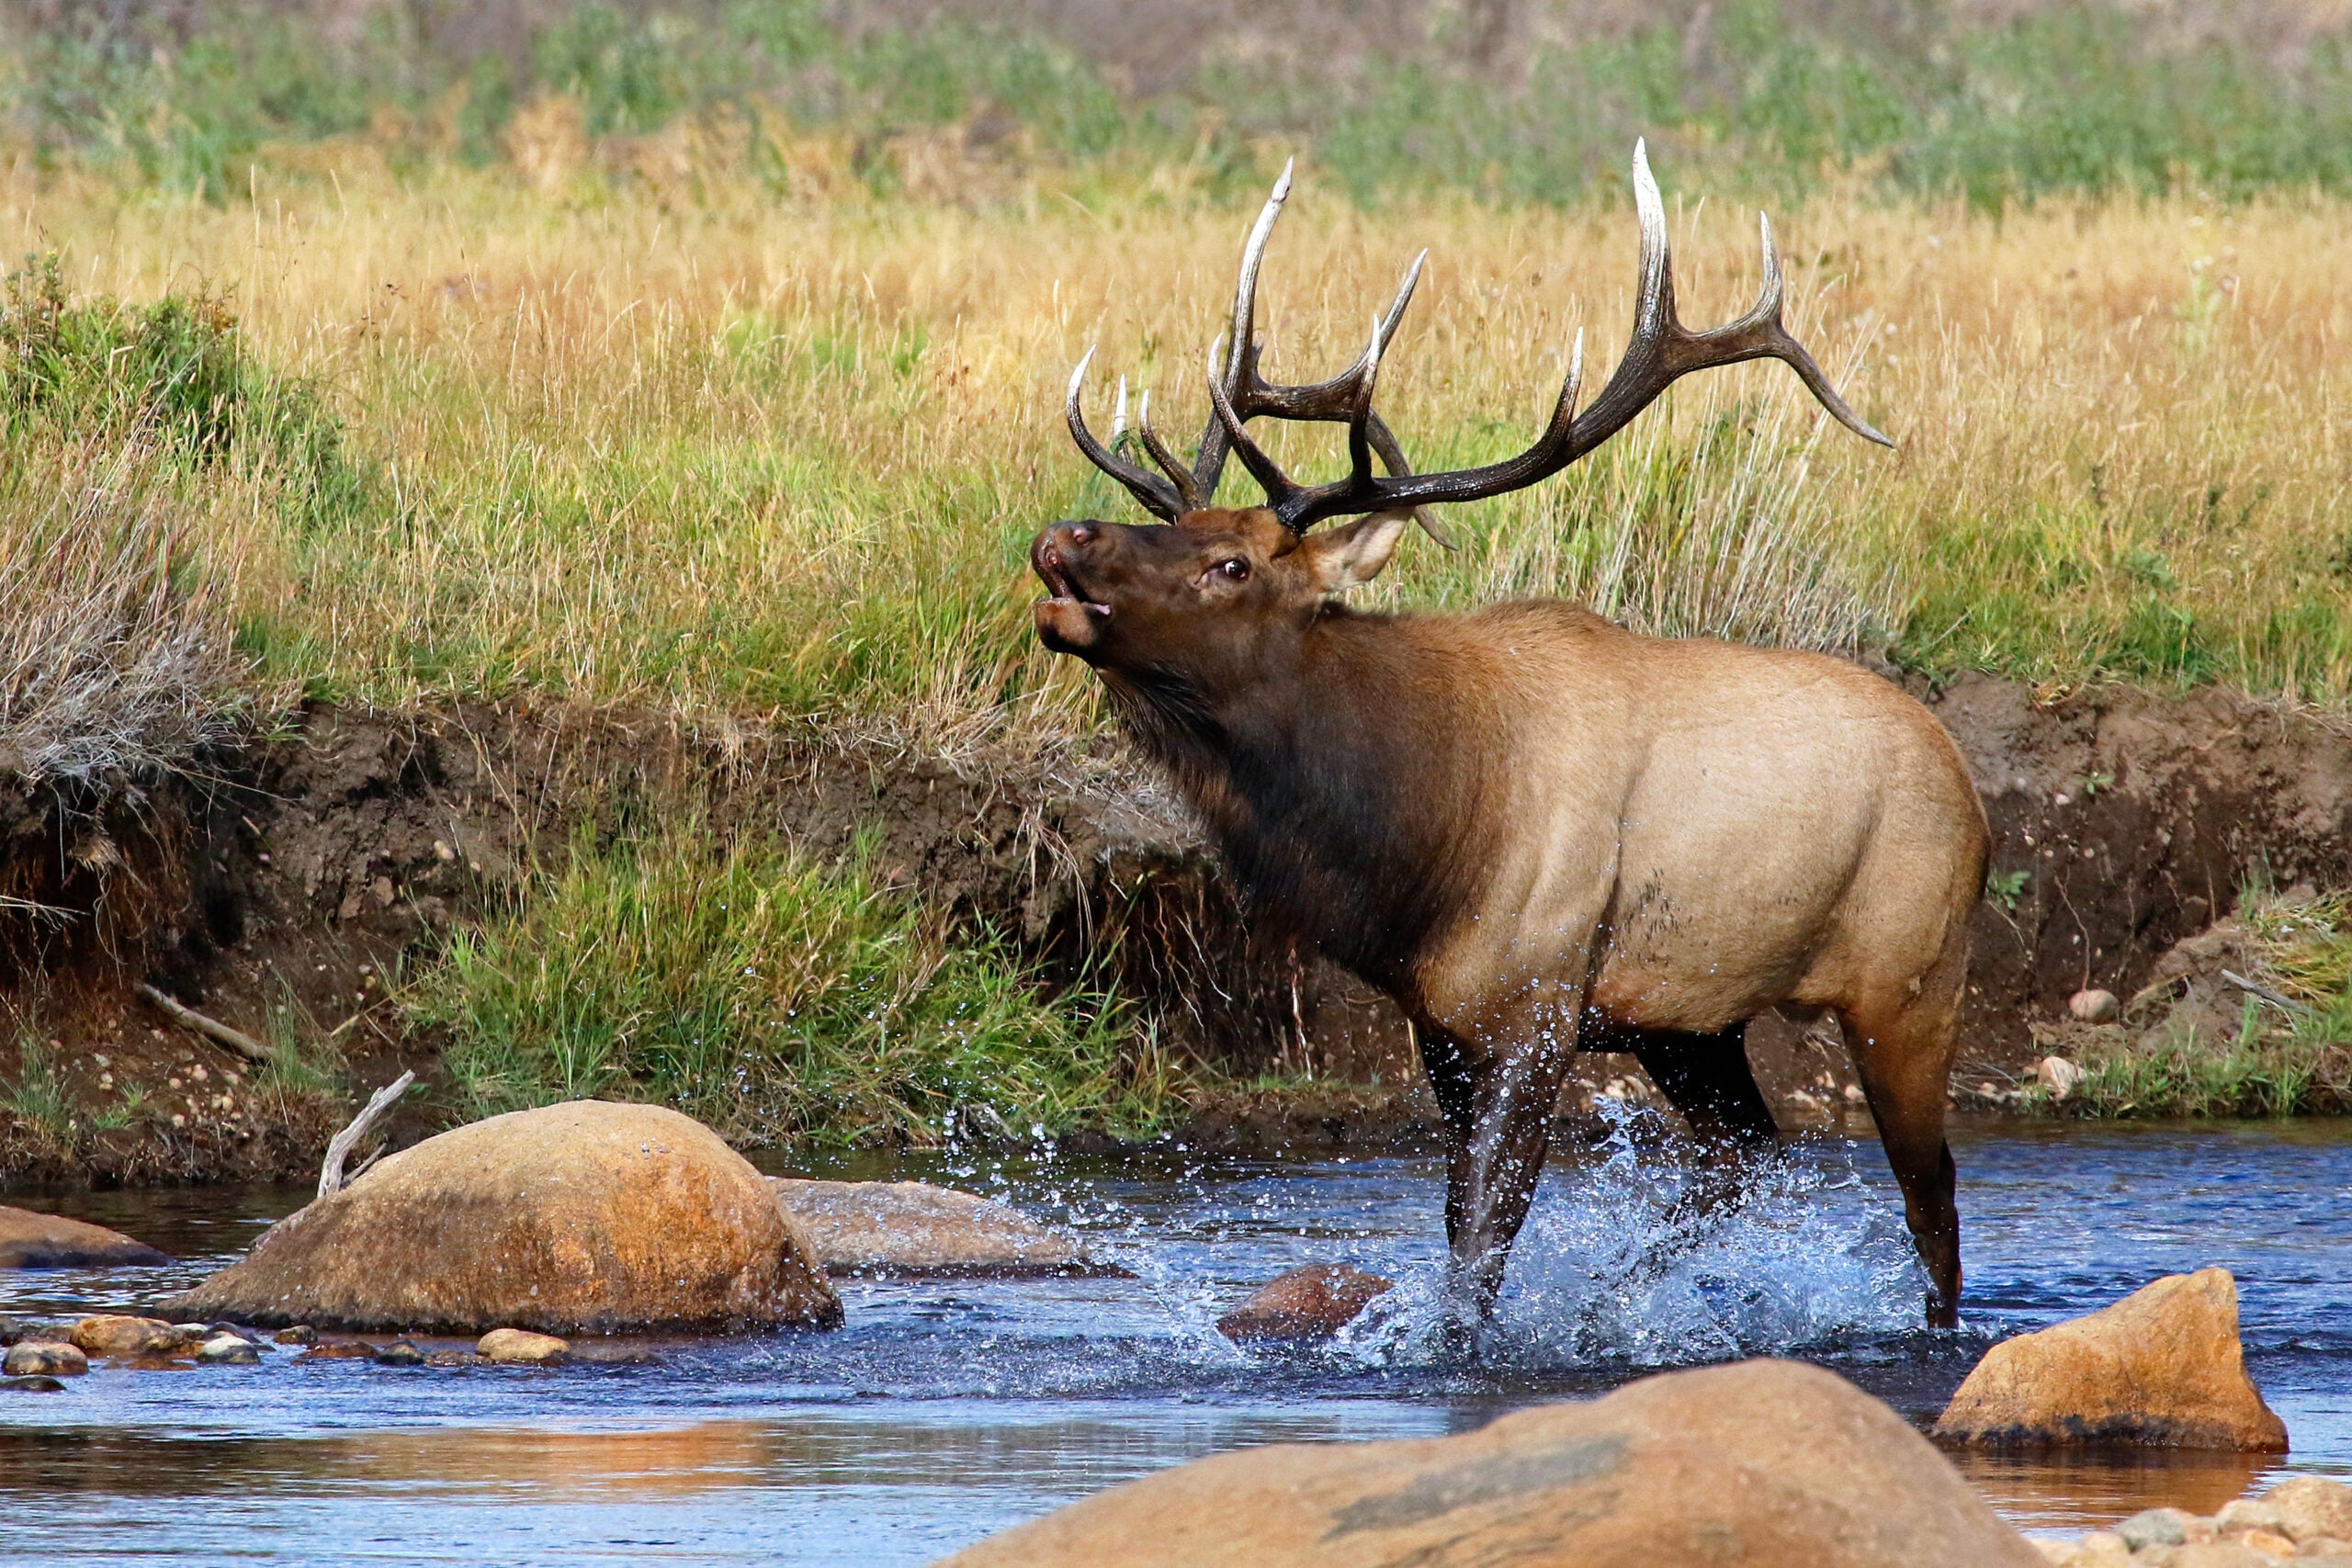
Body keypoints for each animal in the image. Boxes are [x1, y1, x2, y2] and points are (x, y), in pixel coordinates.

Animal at [1031, 144, 1989, 1330]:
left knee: (1931, 1203)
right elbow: (1462, 1231)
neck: (1413, 846)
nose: (1065, 534)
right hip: (1692, 1023)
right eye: (1185, 526)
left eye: (1231, 565)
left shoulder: (1534, 1012)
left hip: (1910, 976)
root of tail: (1972, 787)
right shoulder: (1440, 1023)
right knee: (1743, 1161)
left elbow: (1480, 1245)